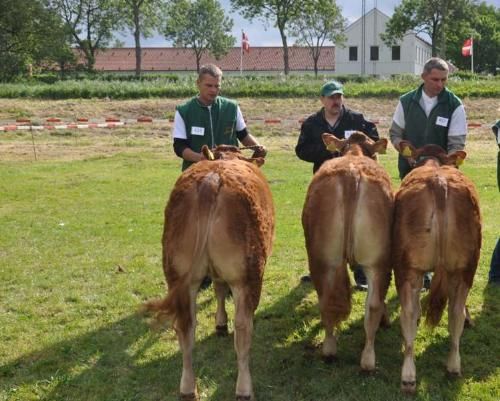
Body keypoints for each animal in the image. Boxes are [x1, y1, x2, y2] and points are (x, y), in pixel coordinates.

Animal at [145, 145, 276, 398]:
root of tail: (212, 179)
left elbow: (218, 289)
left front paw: (220, 323)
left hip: (179, 276)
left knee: (185, 325)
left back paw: (188, 388)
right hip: (247, 275)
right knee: (243, 328)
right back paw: (244, 389)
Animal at [300, 133, 394, 370]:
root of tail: (352, 173)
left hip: (323, 259)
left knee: (328, 302)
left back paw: (332, 350)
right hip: (377, 261)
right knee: (372, 305)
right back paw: (366, 359)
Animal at [394, 142, 480, 392]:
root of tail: (439, 181)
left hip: (406, 268)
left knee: (409, 313)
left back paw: (408, 376)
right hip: (466, 267)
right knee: (455, 313)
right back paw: (453, 366)